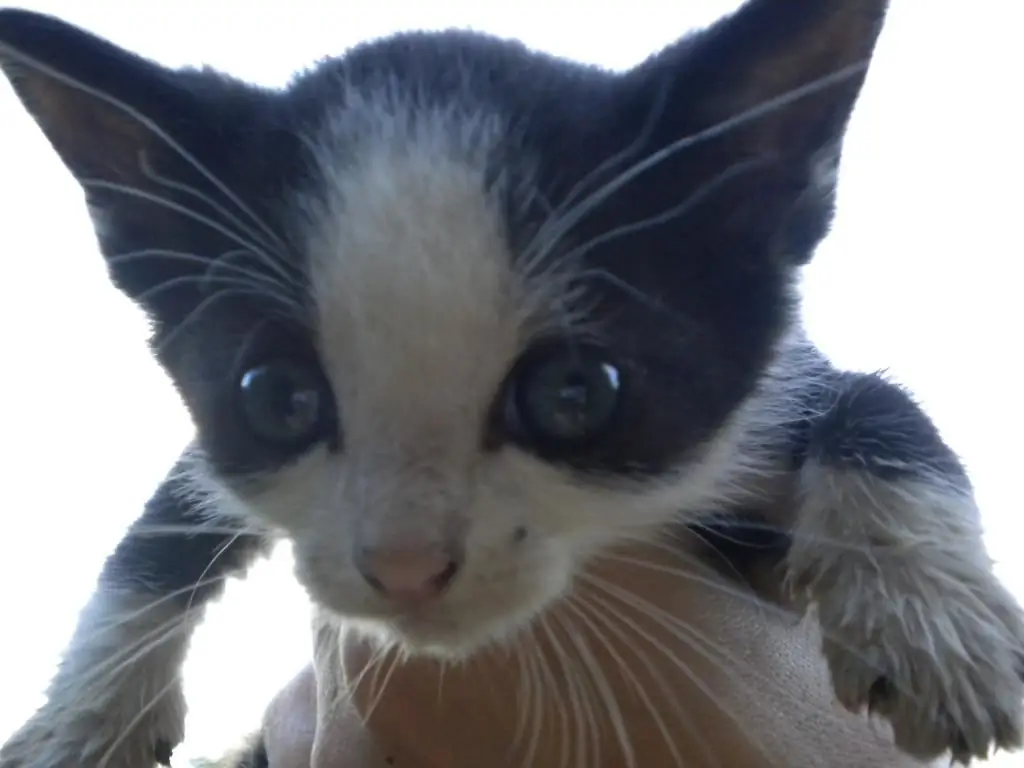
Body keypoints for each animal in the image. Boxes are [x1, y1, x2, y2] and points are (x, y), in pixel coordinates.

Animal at [2, 0, 1024, 765]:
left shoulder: (775, 387)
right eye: (275, 398)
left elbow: (877, 401)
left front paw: (931, 624)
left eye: (576, 394)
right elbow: (166, 523)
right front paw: (80, 721)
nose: (407, 566)